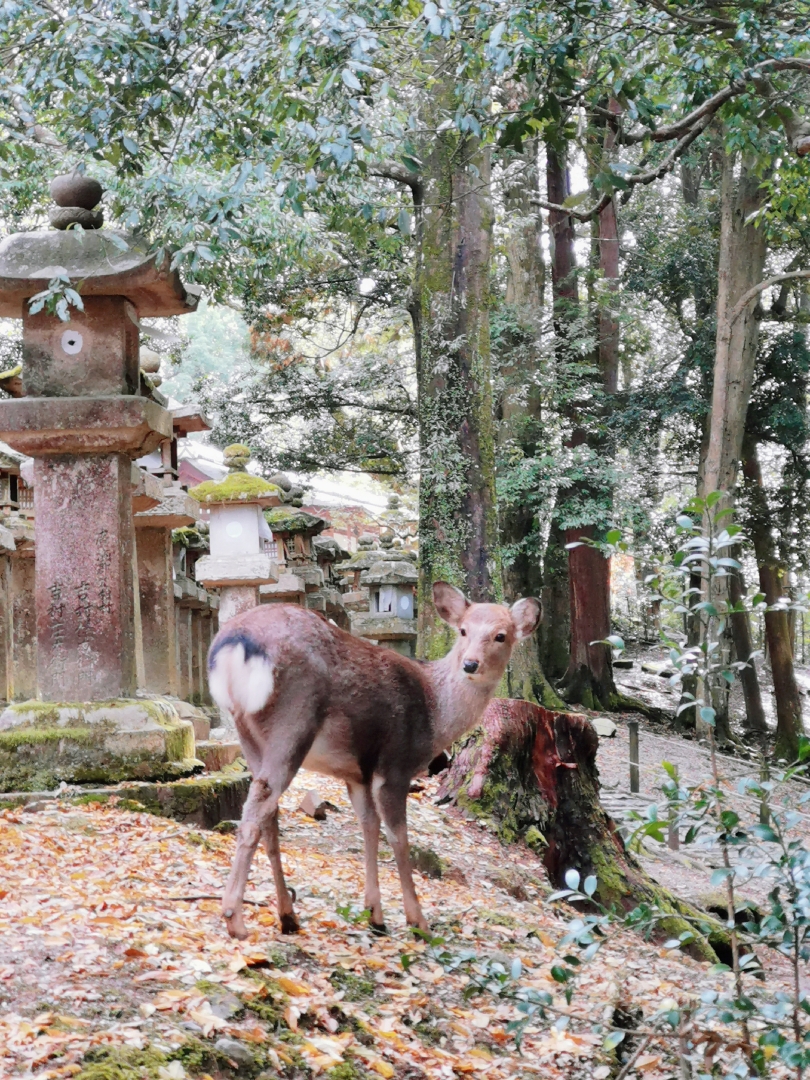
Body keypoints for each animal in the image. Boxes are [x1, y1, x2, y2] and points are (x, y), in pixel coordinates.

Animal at [206, 578, 542, 941]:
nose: (470, 664)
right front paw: (417, 921)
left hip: (249, 734)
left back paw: (288, 916)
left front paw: (375, 915)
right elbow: (399, 837)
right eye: (463, 630)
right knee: (258, 808)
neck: (435, 714)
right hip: (294, 722)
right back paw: (235, 918)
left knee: (268, 813)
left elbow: (369, 826)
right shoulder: (395, 764)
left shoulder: (357, 774)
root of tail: (234, 644)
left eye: (501, 635)